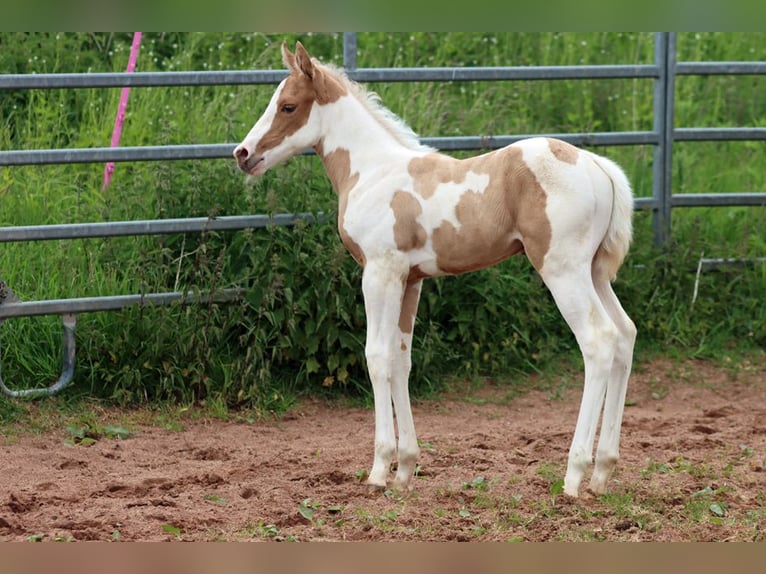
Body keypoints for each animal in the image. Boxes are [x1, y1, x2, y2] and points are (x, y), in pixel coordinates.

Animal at [233, 41, 636, 498]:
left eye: (288, 106)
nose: (242, 154)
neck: (370, 171)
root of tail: (598, 166)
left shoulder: (379, 273)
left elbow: (376, 356)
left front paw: (379, 470)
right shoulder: (410, 281)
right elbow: (400, 360)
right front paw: (406, 469)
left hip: (563, 271)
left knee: (599, 341)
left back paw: (574, 475)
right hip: (595, 272)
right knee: (625, 336)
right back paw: (602, 473)